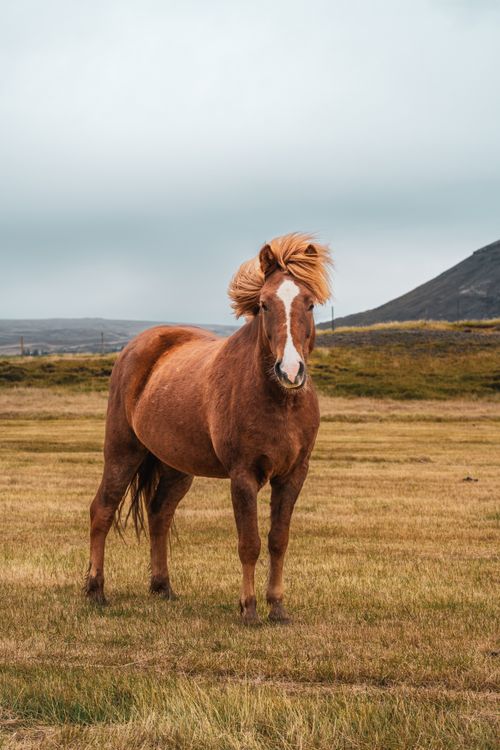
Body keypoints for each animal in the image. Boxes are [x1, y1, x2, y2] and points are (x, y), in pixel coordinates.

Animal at [84, 233, 332, 624]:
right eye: (264, 305)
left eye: (309, 304)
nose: (290, 371)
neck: (278, 400)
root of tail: (137, 346)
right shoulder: (243, 475)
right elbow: (249, 543)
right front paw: (248, 609)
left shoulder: (293, 475)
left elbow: (278, 540)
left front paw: (277, 607)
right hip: (123, 452)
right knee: (102, 510)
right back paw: (95, 590)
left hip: (175, 467)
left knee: (159, 514)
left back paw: (162, 587)